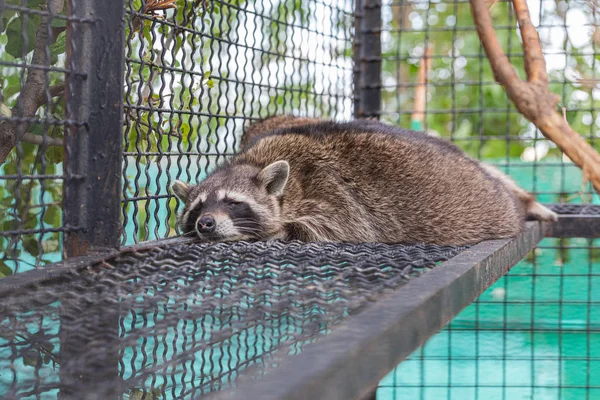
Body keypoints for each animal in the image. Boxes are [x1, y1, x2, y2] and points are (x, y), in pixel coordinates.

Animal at [170, 116, 556, 247]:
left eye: (233, 202)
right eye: (198, 209)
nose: (206, 224)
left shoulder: (333, 192)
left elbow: (338, 227)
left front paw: (280, 230)